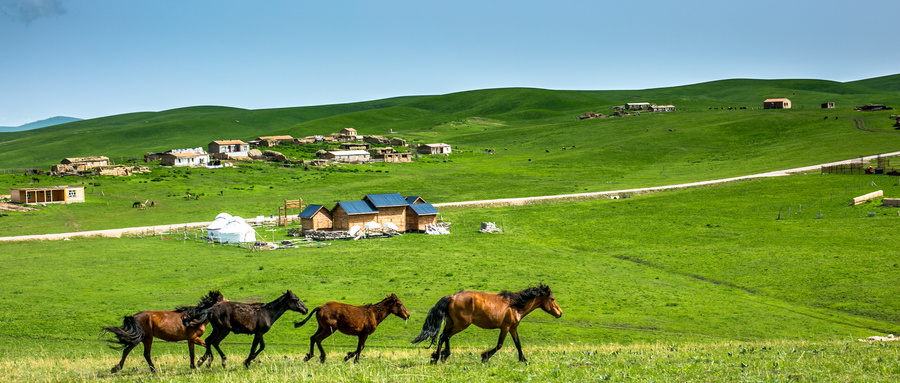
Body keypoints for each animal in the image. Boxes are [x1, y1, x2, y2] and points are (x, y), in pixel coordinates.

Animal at [410, 286, 564, 364]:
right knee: (445, 336)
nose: (560, 313)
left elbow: (518, 344)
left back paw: (438, 357)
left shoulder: (513, 328)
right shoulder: (505, 327)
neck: (515, 305)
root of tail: (452, 297)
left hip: (451, 322)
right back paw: (440, 357)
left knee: (443, 336)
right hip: (461, 324)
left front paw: (523, 360)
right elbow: (500, 345)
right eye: (552, 299)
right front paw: (484, 357)